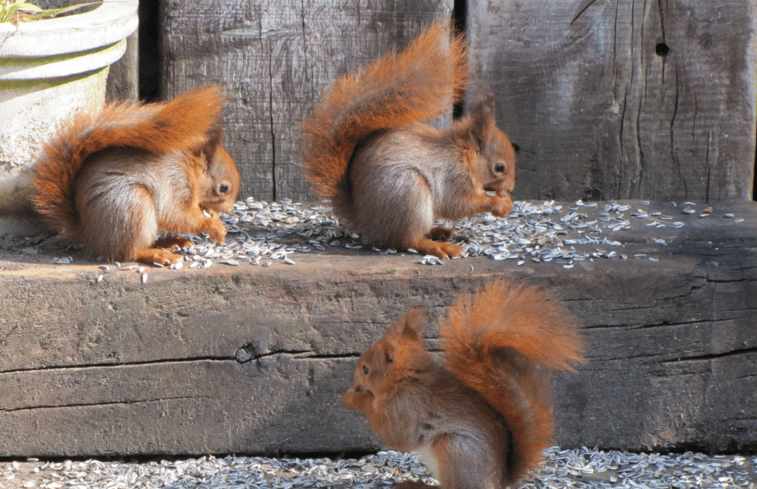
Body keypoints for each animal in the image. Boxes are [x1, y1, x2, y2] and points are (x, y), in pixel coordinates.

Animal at [31, 86, 239, 264]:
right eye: (223, 188)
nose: (229, 210)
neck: (191, 168)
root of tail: (90, 234)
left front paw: (214, 217)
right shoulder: (175, 183)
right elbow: (178, 216)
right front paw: (213, 226)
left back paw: (169, 242)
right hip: (132, 205)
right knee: (128, 252)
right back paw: (157, 253)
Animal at [300, 21, 512, 260]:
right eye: (499, 167)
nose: (511, 187)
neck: (463, 153)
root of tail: (365, 219)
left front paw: (506, 200)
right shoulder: (453, 176)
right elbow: (459, 204)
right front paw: (497, 202)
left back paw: (439, 231)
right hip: (408, 193)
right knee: (407, 239)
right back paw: (437, 246)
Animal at [342, 278, 584, 488]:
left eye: (366, 369)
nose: (355, 377)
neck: (406, 379)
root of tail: (498, 482)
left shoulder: (405, 408)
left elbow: (393, 433)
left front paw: (354, 398)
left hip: (454, 449)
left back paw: (415, 485)